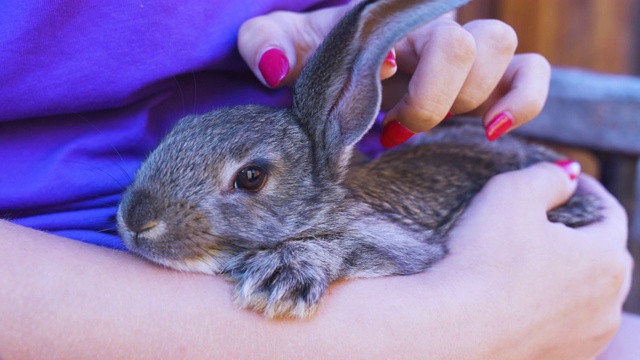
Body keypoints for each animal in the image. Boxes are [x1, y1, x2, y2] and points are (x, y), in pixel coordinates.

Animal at [117, 0, 604, 320]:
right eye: (175, 131)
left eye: (251, 177)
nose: (137, 219)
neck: (322, 207)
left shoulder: (397, 242)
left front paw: (279, 276)